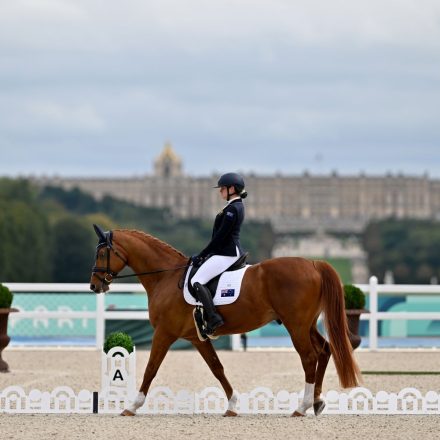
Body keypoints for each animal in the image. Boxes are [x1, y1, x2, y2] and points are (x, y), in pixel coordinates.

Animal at [89, 227, 360, 416]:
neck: (165, 277)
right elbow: (217, 368)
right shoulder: (195, 337)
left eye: (101, 253)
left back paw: (301, 407)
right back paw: (316, 402)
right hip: (307, 324)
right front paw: (232, 405)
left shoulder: (164, 333)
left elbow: (151, 368)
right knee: (324, 350)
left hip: (296, 326)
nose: (94, 286)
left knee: (310, 357)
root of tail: (313, 263)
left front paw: (132, 406)